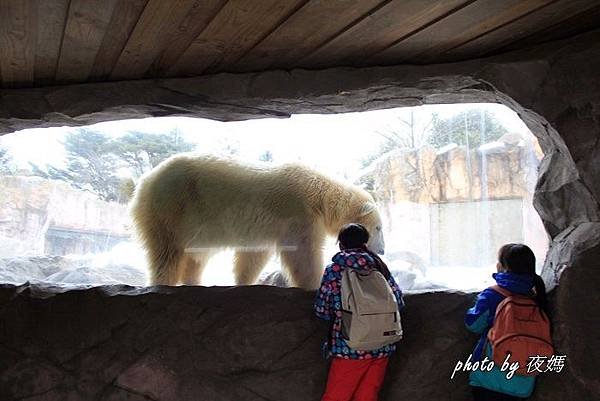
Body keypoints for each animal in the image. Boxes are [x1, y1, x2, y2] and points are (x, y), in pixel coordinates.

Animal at [129, 153, 386, 288]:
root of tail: (145, 181)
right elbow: (303, 253)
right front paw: (312, 284)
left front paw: (244, 282)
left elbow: (253, 257)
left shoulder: (263, 230)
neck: (319, 195)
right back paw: (164, 282)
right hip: (172, 207)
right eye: (378, 227)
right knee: (167, 253)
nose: (382, 250)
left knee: (195, 256)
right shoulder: (298, 214)